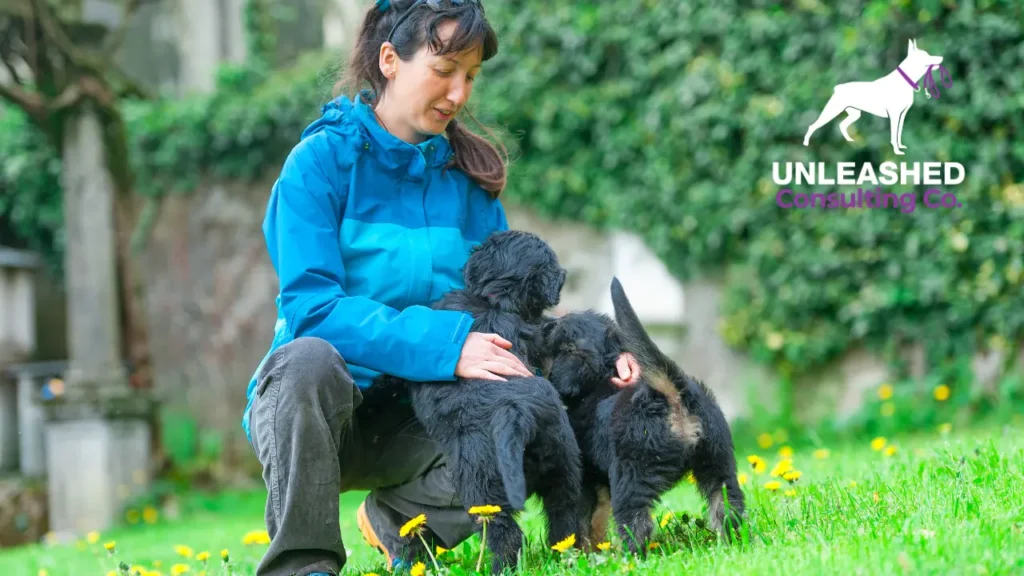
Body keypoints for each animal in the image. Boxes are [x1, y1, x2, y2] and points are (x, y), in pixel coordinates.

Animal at [368, 229, 581, 573]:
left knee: (505, 533)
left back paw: (498, 568)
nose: (564, 275)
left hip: (481, 484)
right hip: (564, 463)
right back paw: (568, 556)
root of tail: (517, 414)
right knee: (566, 516)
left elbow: (391, 377)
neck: (497, 302)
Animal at [536, 276, 745, 553]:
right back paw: (732, 544)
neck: (602, 380)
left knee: (637, 523)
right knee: (728, 507)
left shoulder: (586, 481)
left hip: (631, 476)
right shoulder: (600, 484)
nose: (543, 322)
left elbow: (581, 523)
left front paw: (581, 553)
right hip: (718, 461)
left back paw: (630, 556)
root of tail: (671, 394)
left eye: (554, 335)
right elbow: (596, 521)